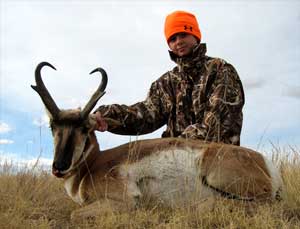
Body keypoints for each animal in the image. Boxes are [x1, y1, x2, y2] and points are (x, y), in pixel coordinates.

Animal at [31, 62, 282, 218]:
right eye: (53, 126)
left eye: (84, 128)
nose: (59, 167)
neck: (92, 165)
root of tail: (264, 162)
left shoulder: (125, 200)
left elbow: (74, 214)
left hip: (218, 176)